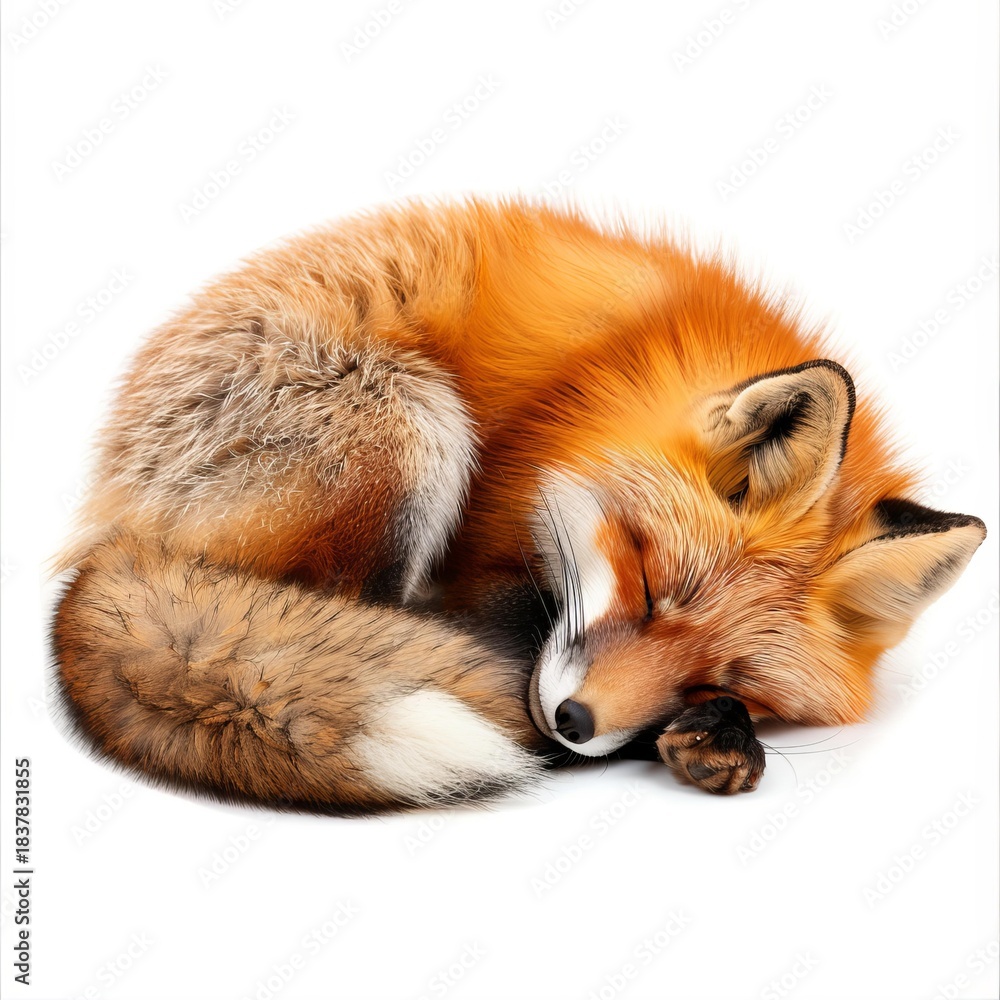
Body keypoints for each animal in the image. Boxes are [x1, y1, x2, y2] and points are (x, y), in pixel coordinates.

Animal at [51, 198, 986, 815]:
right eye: (648, 584)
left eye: (723, 679)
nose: (575, 721)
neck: (599, 388)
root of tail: (109, 529)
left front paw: (712, 732)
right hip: (409, 425)